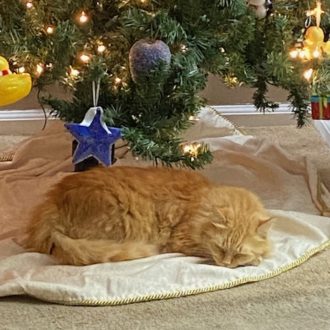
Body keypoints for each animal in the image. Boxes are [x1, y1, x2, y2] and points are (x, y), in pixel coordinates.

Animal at [22, 166, 270, 266]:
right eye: (220, 248)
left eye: (237, 253)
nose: (225, 264)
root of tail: (54, 200)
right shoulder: (181, 240)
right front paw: (255, 259)